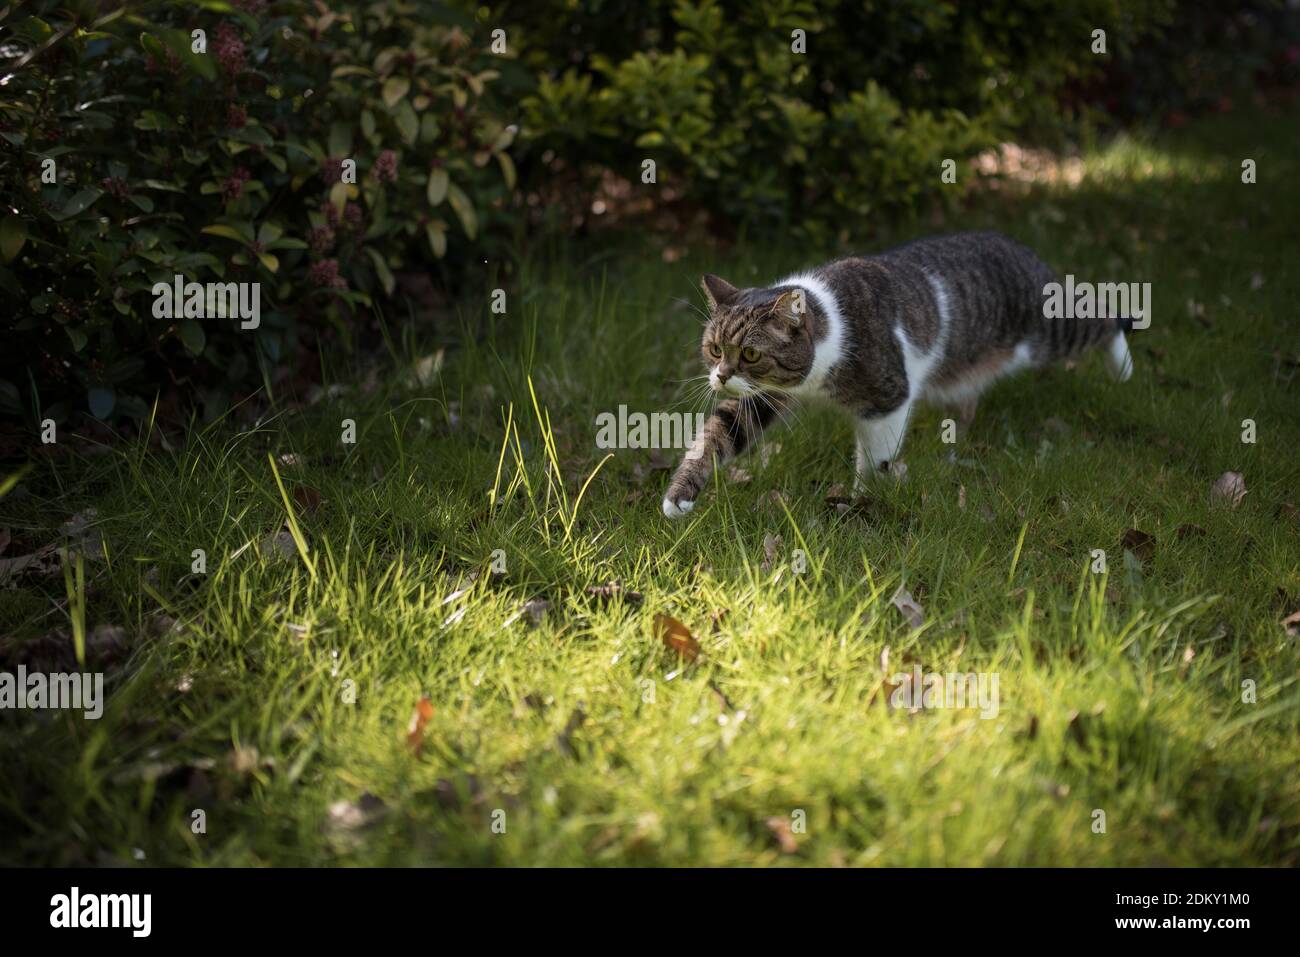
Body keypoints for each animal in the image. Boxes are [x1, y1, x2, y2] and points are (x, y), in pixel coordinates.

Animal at [665, 228, 1133, 520]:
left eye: (749, 353)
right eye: (714, 349)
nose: (720, 376)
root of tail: (1021, 247)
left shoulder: (888, 398)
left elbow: (876, 456)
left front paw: (860, 502)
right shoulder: (764, 395)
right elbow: (719, 433)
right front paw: (678, 497)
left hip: (1049, 331)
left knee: (1101, 316)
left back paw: (1123, 367)